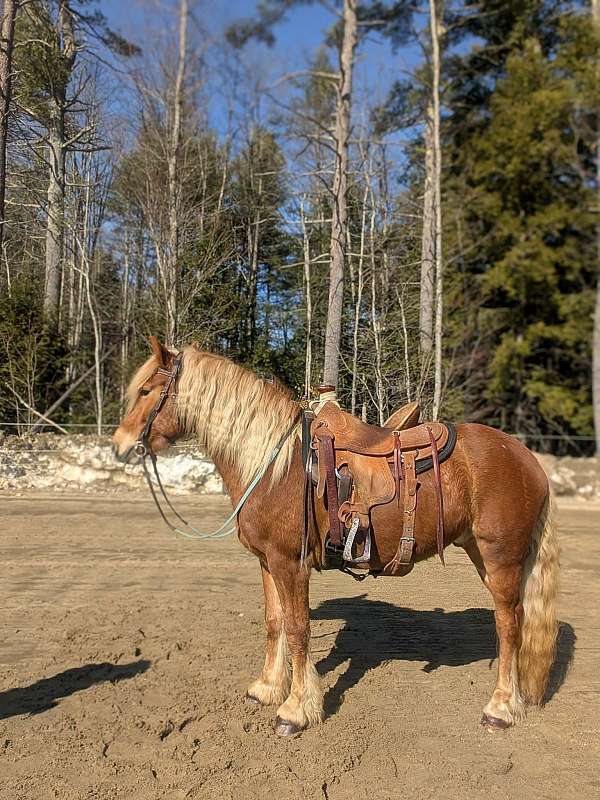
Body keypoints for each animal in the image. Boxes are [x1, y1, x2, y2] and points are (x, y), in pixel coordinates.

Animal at [112, 337, 559, 737]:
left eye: (147, 391)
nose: (120, 446)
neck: (274, 463)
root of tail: (529, 459)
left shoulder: (290, 564)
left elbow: (298, 629)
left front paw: (296, 710)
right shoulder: (266, 562)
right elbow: (274, 622)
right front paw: (267, 688)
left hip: (500, 556)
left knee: (509, 625)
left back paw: (500, 708)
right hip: (485, 554)